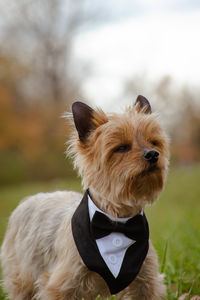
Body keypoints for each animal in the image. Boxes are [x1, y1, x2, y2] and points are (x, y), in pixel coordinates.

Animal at [0, 95, 170, 298]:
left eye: (154, 142)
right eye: (121, 148)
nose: (153, 154)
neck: (116, 220)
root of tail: (29, 199)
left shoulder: (145, 281)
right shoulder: (61, 283)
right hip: (23, 274)